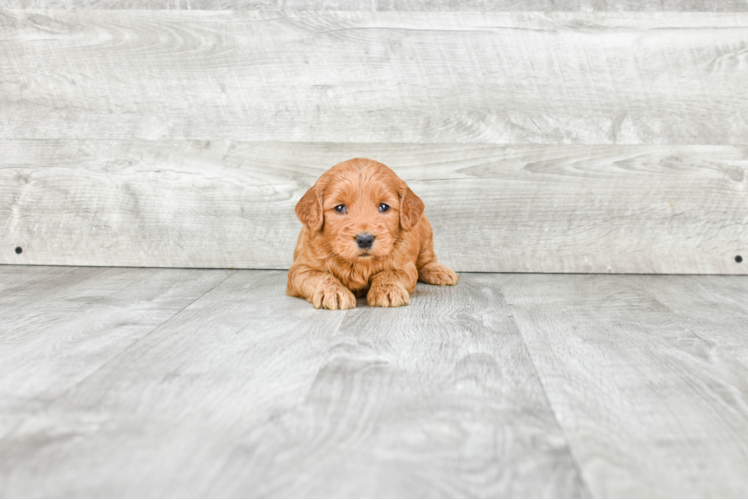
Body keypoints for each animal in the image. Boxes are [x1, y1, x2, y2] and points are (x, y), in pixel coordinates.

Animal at [288, 158, 458, 310]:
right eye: (340, 208)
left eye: (384, 206)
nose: (365, 240)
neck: (359, 264)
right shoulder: (300, 269)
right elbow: (320, 276)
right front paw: (333, 292)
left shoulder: (405, 267)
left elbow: (389, 273)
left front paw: (388, 289)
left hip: (425, 231)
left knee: (426, 260)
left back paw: (440, 271)